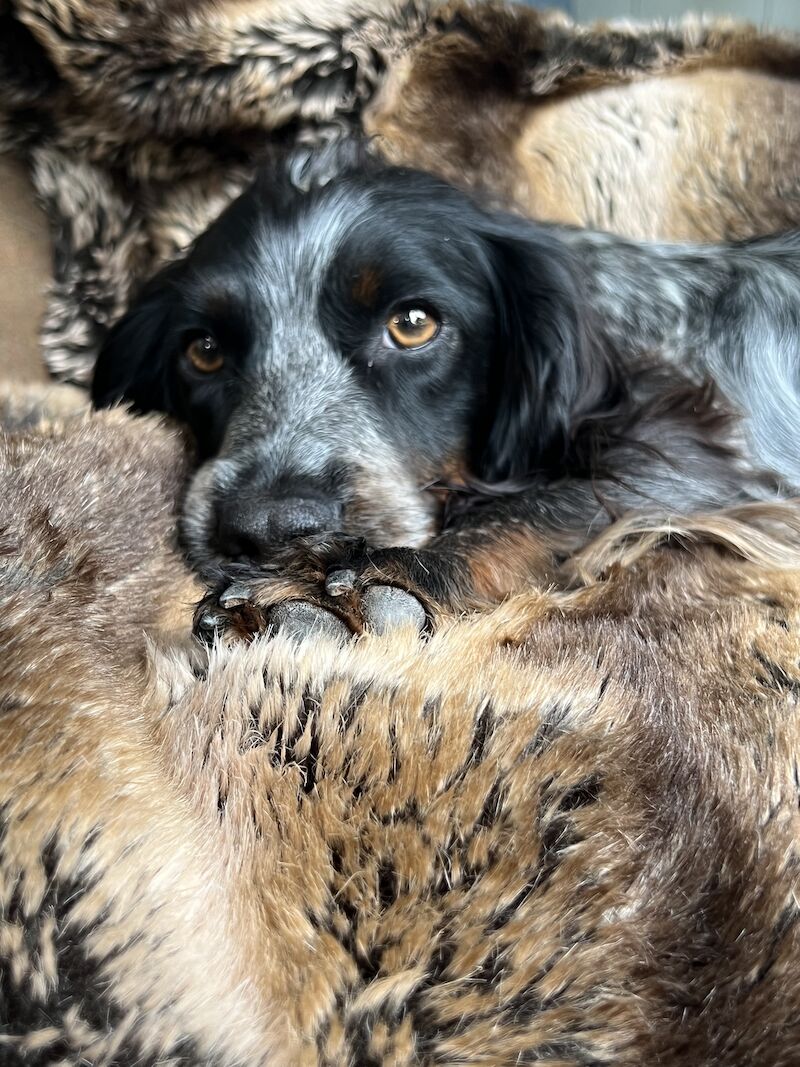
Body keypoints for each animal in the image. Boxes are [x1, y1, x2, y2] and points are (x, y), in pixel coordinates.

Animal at [90, 137, 800, 627]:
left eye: (413, 324)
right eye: (204, 351)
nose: (270, 531)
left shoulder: (704, 461)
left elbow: (539, 506)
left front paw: (342, 578)